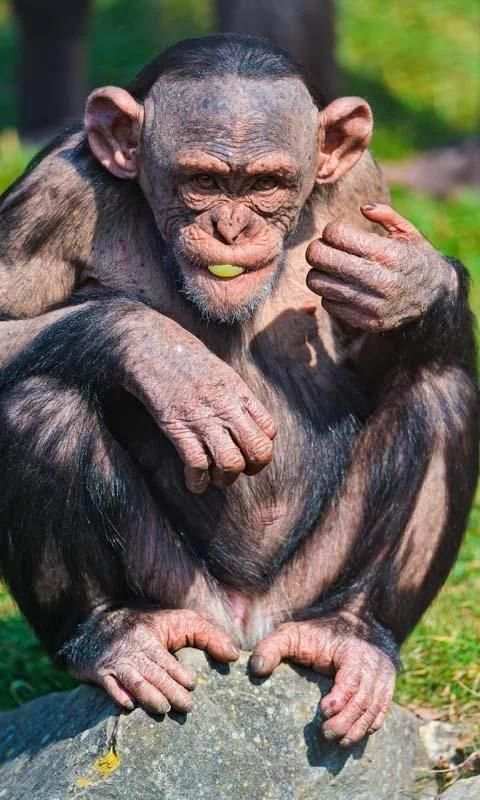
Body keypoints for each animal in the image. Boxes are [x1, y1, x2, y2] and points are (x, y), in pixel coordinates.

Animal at [0, 35, 477, 748]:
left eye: (267, 184)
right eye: (202, 182)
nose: (230, 227)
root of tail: (247, 628)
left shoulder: (364, 187)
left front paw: (407, 282)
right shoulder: (51, 194)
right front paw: (170, 365)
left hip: (304, 591)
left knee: (441, 387)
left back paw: (352, 635)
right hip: (179, 590)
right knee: (35, 404)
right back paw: (114, 635)